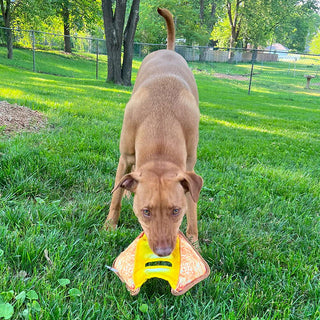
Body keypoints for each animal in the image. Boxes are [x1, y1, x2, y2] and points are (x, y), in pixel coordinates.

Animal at [107, 8, 202, 258]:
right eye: (146, 211)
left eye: (176, 210)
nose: (163, 251)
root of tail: (169, 50)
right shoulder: (125, 156)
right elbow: (116, 196)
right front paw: (109, 226)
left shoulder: (189, 168)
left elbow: (193, 204)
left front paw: (194, 240)